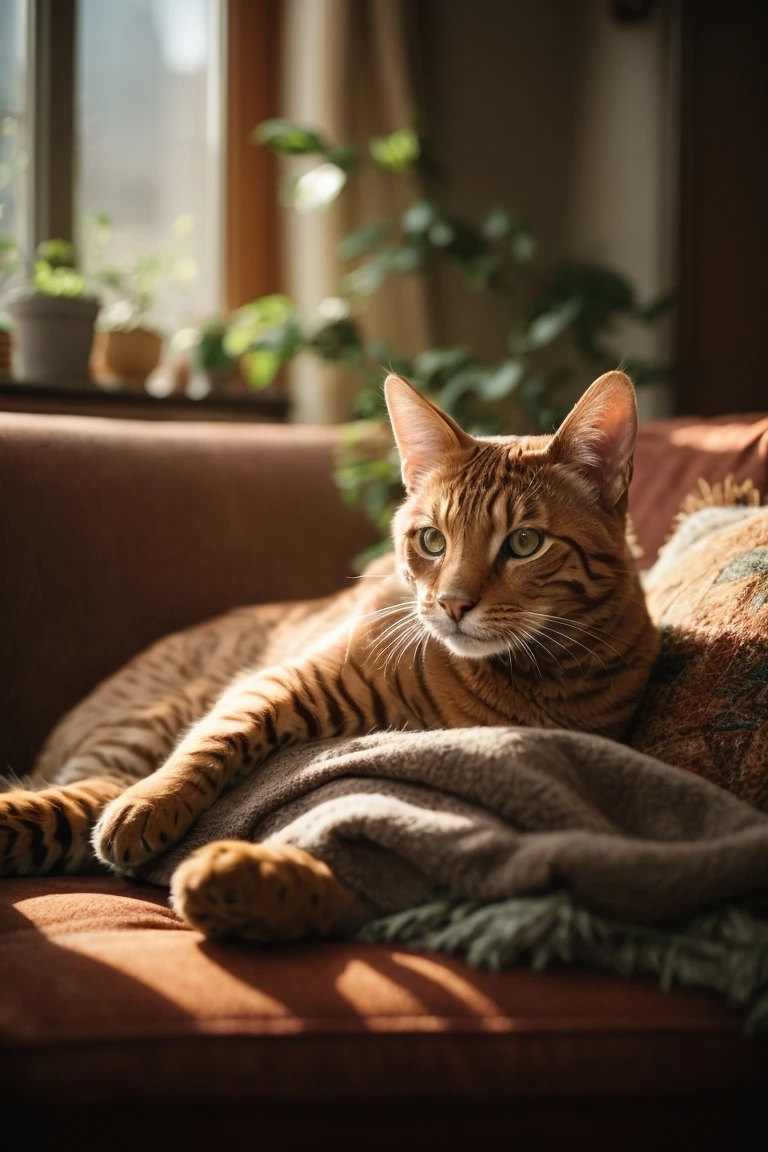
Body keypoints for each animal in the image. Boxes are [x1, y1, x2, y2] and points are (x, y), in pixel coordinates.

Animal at [0, 373, 663, 940]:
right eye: (432, 540)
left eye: (524, 543)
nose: (451, 604)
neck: (515, 683)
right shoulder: (286, 680)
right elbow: (212, 741)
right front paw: (152, 803)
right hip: (141, 725)